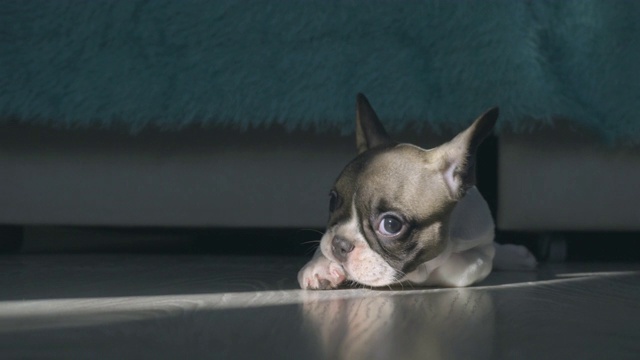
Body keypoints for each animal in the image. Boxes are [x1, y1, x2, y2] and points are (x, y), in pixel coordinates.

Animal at [298, 93, 536, 290]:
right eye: (333, 201)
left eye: (391, 225)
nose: (340, 244)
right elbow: (323, 244)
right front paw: (320, 266)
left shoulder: (480, 253)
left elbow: (458, 267)